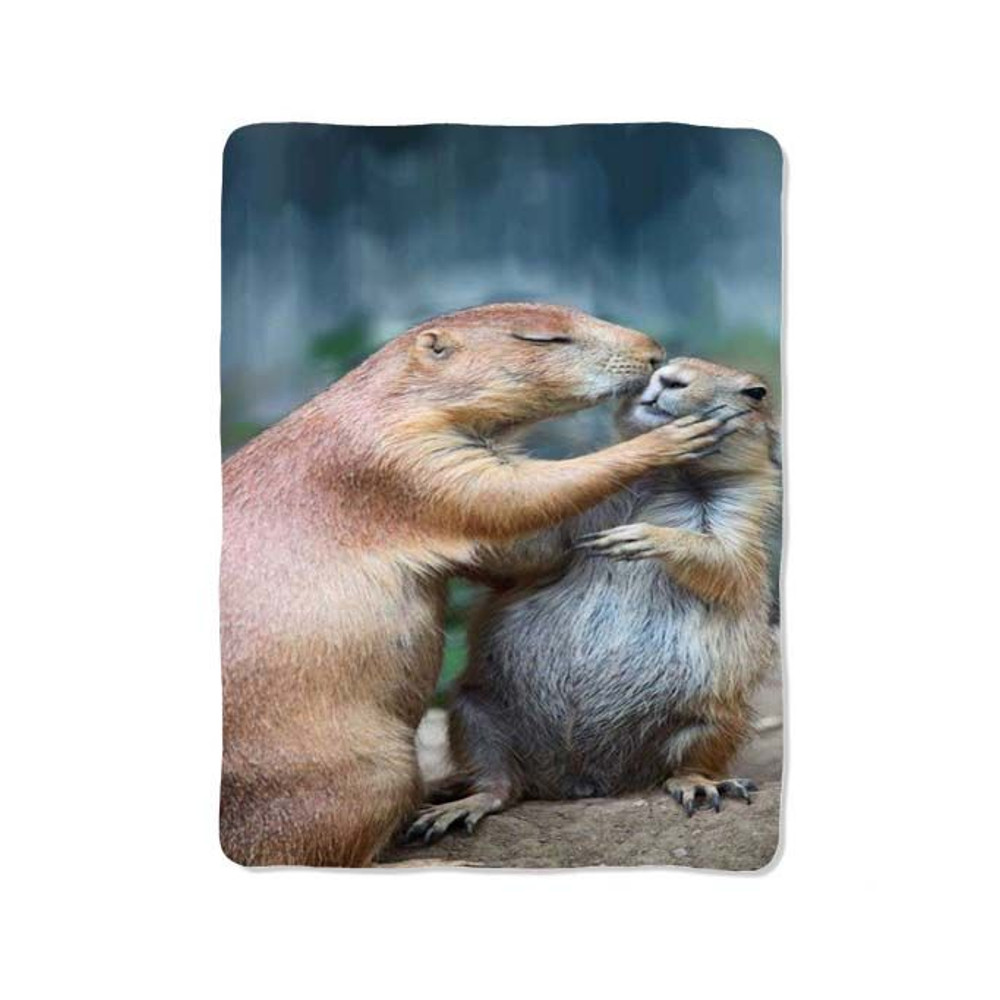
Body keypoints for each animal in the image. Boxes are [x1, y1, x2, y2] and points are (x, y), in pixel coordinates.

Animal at [221, 306, 735, 866]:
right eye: (543, 338)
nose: (654, 353)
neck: (392, 398)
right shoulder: (403, 458)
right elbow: (511, 493)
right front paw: (673, 437)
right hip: (370, 773)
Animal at [406, 357, 780, 843]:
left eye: (757, 392)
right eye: (664, 363)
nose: (669, 376)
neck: (670, 477)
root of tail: (581, 783)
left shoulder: (741, 518)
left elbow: (725, 560)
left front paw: (640, 537)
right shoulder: (578, 509)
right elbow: (531, 549)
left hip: (715, 719)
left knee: (683, 767)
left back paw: (702, 786)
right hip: (474, 711)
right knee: (499, 783)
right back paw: (461, 805)